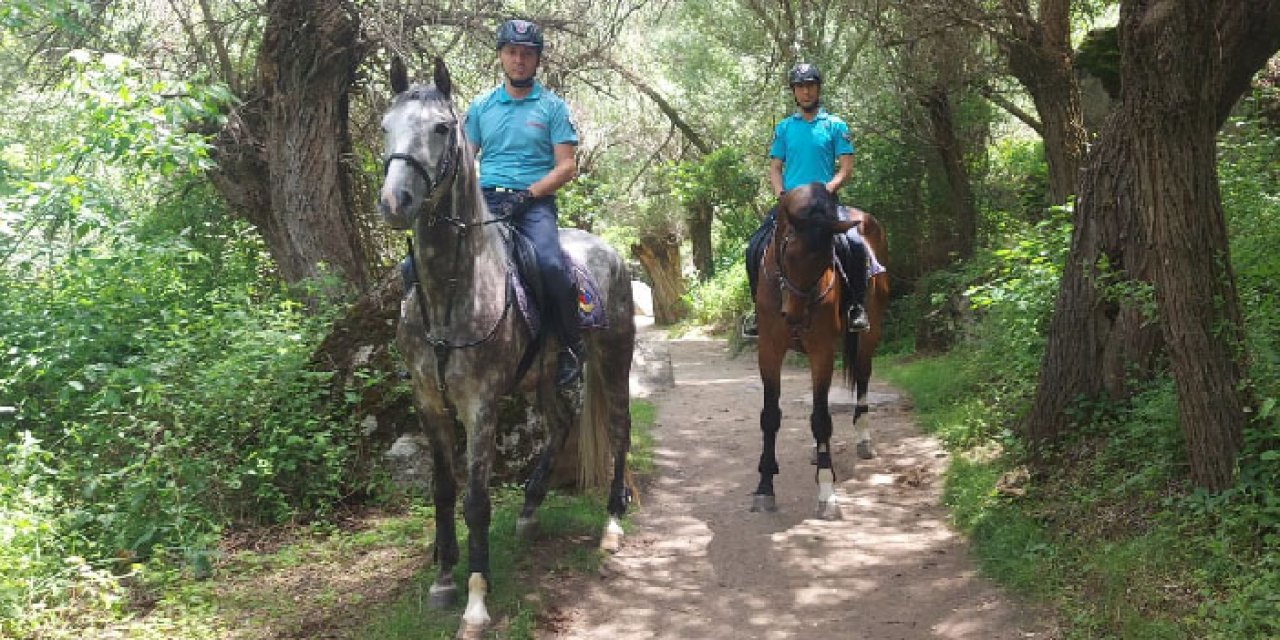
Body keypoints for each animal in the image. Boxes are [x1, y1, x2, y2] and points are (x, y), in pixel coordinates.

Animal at [373, 57, 634, 637]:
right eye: (384, 127)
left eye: (441, 128)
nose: (396, 202)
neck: (453, 290)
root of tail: (609, 250)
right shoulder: (429, 400)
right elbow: (442, 491)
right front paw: (443, 580)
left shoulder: (482, 403)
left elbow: (475, 500)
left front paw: (476, 599)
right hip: (544, 375)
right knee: (560, 424)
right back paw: (531, 509)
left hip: (613, 359)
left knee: (618, 431)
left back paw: (611, 522)